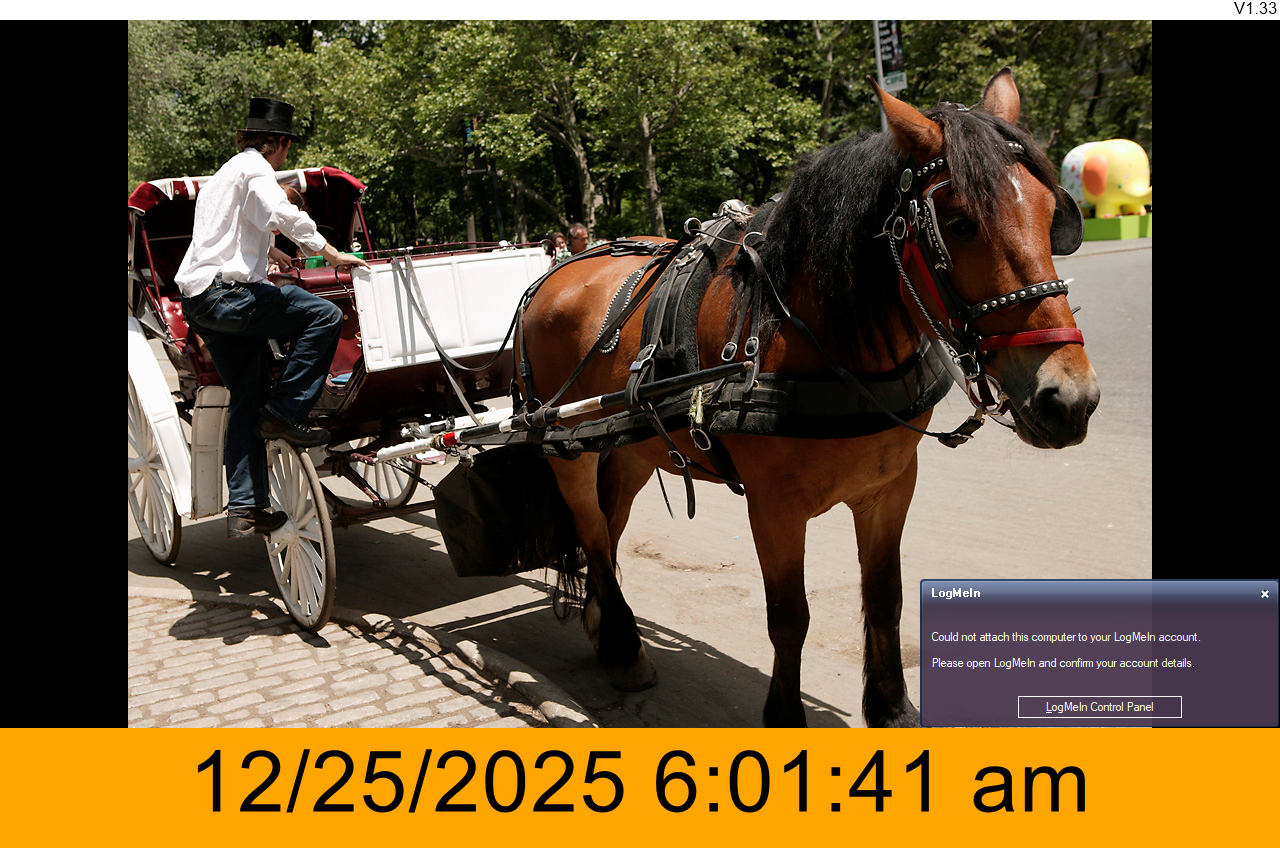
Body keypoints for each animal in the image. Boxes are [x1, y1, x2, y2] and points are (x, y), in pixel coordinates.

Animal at [511, 68, 1099, 727]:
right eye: (960, 224)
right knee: (589, 527)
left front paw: (890, 706)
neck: (822, 342)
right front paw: (786, 714)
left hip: (633, 445)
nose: (1068, 398)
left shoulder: (889, 488)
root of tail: (558, 272)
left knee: (609, 529)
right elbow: (790, 616)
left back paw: (608, 627)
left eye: (1052, 214)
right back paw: (619, 642)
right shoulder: (774, 507)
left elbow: (886, 597)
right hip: (567, 449)